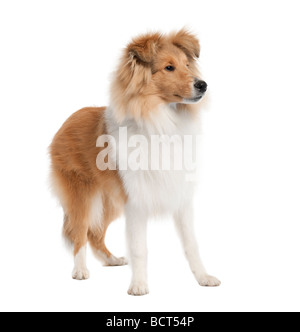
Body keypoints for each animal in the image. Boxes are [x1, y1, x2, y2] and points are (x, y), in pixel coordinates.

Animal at [49, 29, 220, 296]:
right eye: (168, 67)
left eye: (187, 65)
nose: (203, 85)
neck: (162, 122)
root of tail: (67, 120)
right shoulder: (136, 202)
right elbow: (140, 248)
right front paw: (139, 286)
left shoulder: (180, 197)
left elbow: (191, 244)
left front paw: (203, 278)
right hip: (82, 195)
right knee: (79, 232)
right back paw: (80, 270)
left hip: (109, 201)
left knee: (95, 233)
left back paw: (111, 260)